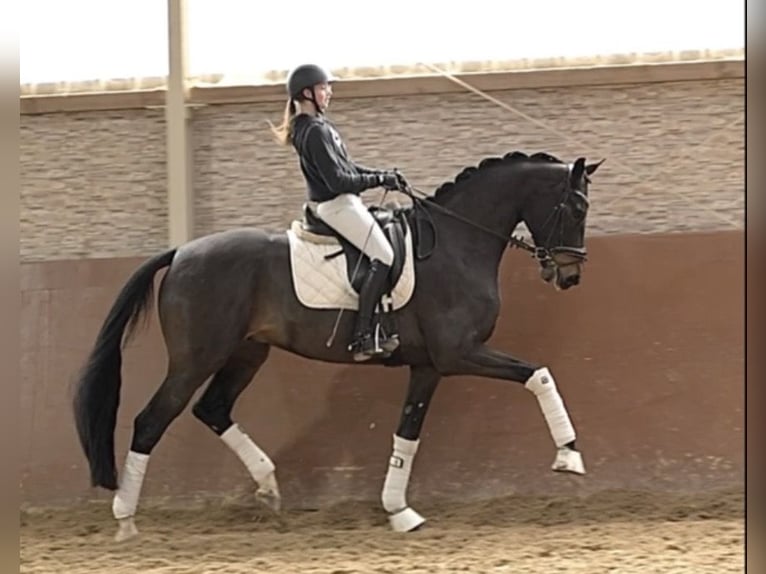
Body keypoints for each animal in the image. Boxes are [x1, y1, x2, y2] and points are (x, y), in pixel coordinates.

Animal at [72, 150, 604, 541]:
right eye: (578, 208)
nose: (571, 275)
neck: (457, 244)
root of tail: (181, 252)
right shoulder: (458, 354)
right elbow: (538, 373)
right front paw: (570, 456)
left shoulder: (429, 366)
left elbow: (407, 435)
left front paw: (399, 511)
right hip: (196, 358)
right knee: (151, 421)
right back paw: (126, 519)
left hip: (247, 353)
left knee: (213, 409)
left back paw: (269, 489)